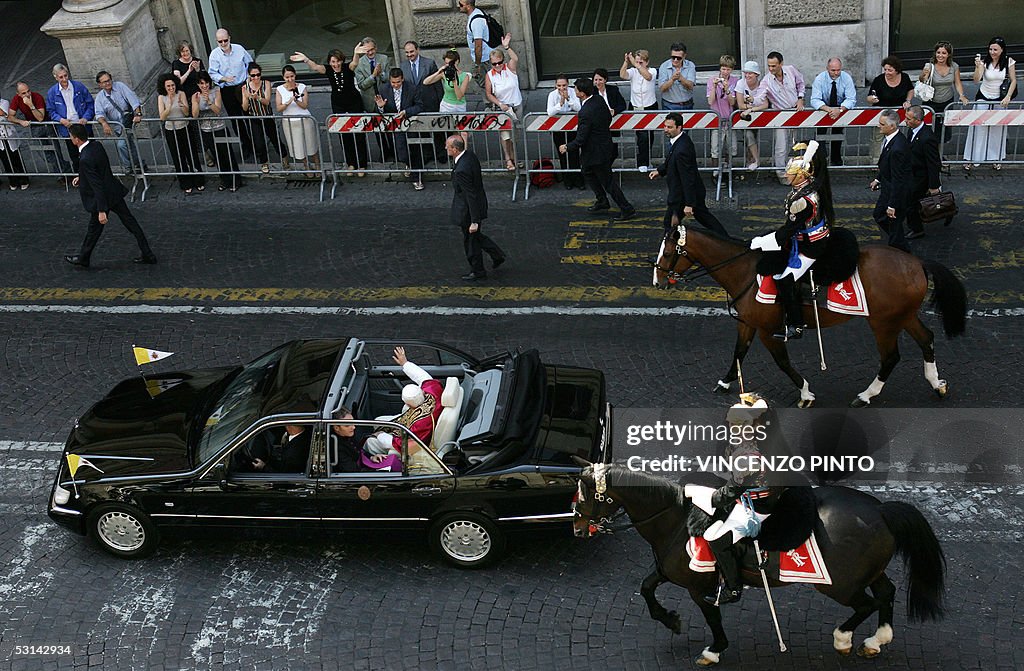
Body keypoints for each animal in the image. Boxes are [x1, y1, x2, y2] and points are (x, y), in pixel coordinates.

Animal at [655, 223, 966, 407]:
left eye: (668, 253)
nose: (657, 281)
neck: (746, 271)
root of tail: (916, 262)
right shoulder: (749, 324)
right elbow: (739, 353)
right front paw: (724, 381)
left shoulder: (769, 331)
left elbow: (782, 362)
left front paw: (805, 392)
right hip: (903, 317)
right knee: (927, 339)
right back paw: (936, 384)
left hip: (883, 323)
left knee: (891, 357)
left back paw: (866, 395)